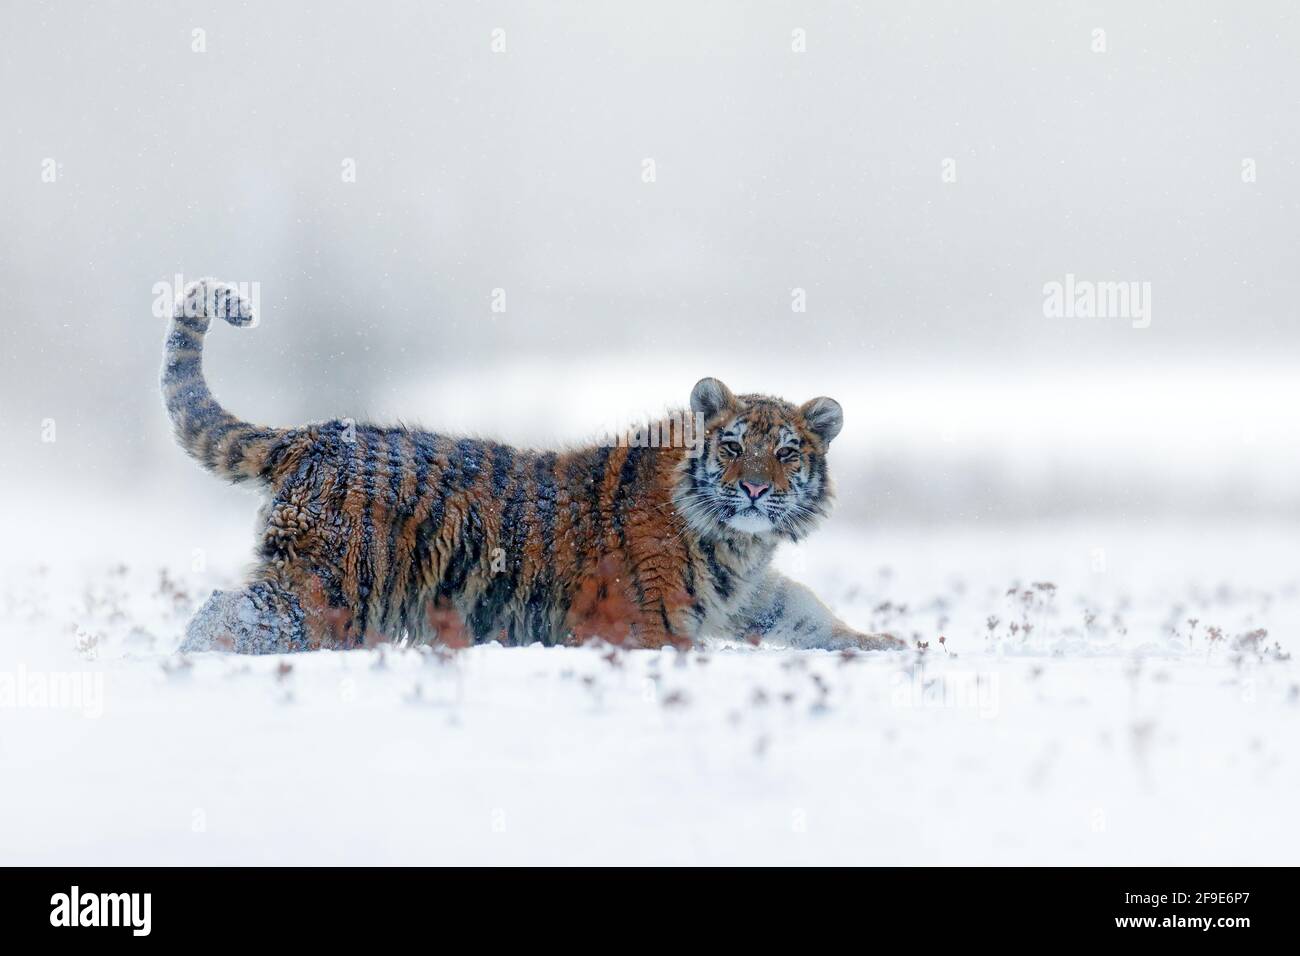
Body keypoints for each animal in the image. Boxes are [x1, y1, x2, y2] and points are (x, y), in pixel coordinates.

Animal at [165, 274, 904, 650]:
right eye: (732, 446)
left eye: (785, 453)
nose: (752, 490)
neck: (736, 544)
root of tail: (314, 435)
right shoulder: (647, 625)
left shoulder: (753, 597)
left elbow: (810, 614)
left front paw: (895, 648)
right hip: (333, 587)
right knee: (229, 612)